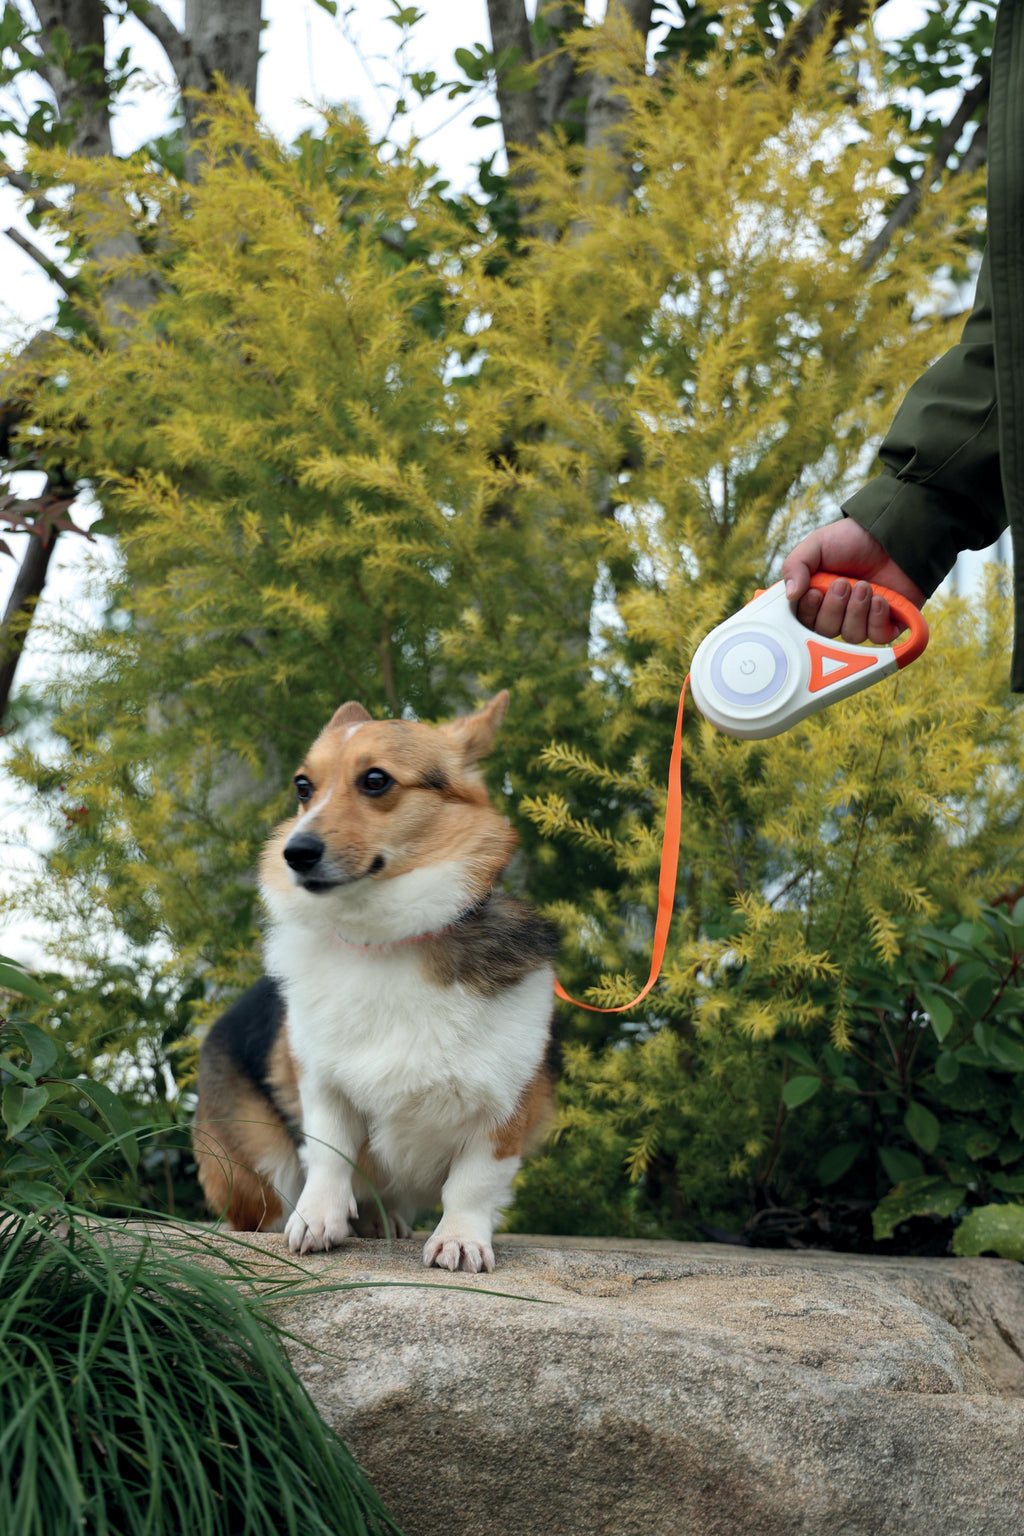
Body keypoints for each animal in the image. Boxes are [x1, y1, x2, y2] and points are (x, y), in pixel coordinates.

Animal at [191, 694, 561, 1271]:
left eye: (375, 780)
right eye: (303, 787)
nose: (294, 853)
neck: (385, 938)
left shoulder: (505, 1105)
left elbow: (473, 1183)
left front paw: (460, 1239)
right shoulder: (322, 1083)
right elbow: (329, 1154)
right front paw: (317, 1220)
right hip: (254, 1158)